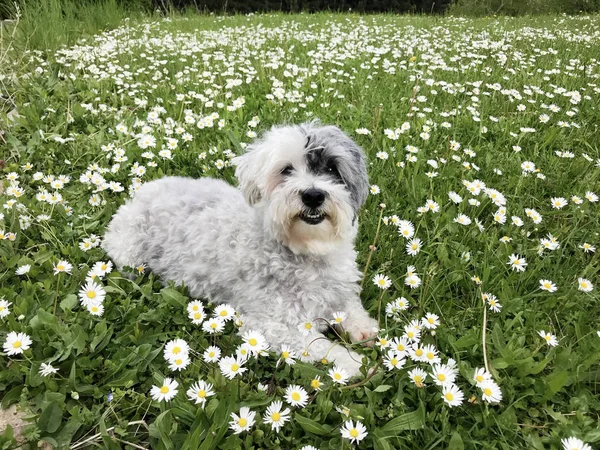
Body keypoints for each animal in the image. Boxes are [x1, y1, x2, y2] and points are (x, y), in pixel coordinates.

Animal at [101, 121, 378, 374]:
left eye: (332, 168)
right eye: (286, 170)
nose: (313, 195)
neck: (305, 250)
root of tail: (142, 192)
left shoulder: (339, 287)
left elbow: (351, 306)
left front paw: (364, 329)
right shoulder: (268, 325)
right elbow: (321, 345)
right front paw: (355, 363)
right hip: (130, 257)